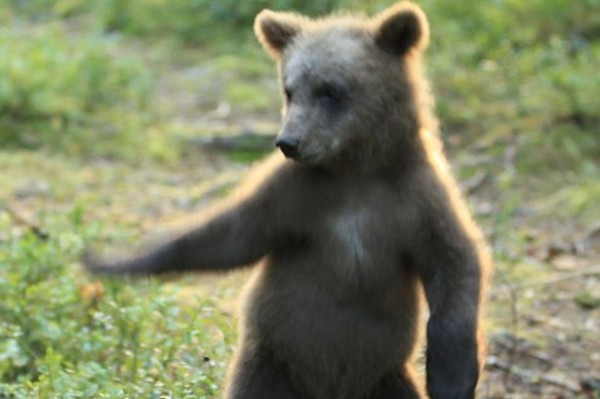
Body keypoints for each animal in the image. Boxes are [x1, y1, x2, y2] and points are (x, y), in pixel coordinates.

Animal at [84, 3, 490, 399]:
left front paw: (452, 379)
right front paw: (114, 260)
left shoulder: (414, 201)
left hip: (385, 381)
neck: (355, 171)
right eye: (290, 89)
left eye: (329, 90)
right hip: (268, 368)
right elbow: (228, 237)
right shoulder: (297, 197)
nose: (288, 141)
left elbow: (455, 264)